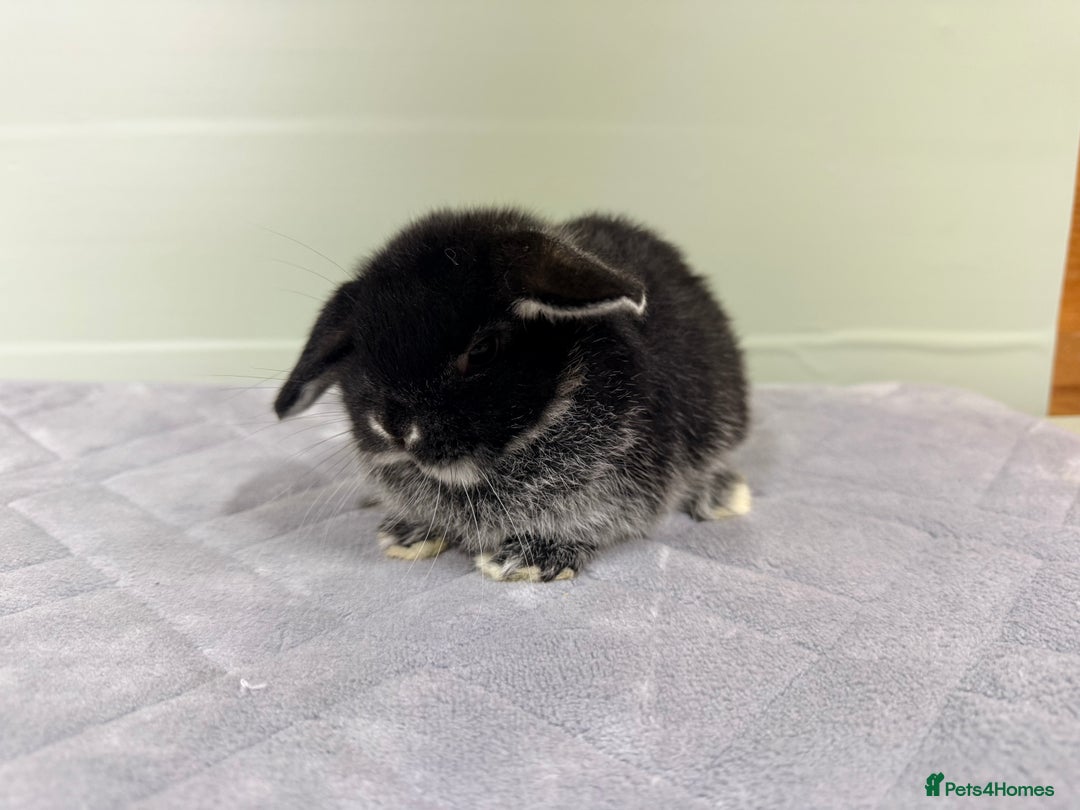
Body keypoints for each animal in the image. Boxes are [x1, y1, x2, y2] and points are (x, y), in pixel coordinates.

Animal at [275, 208, 750, 581]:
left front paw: (526, 560)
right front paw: (406, 534)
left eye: (482, 350)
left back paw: (724, 498)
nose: (393, 428)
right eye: (360, 347)